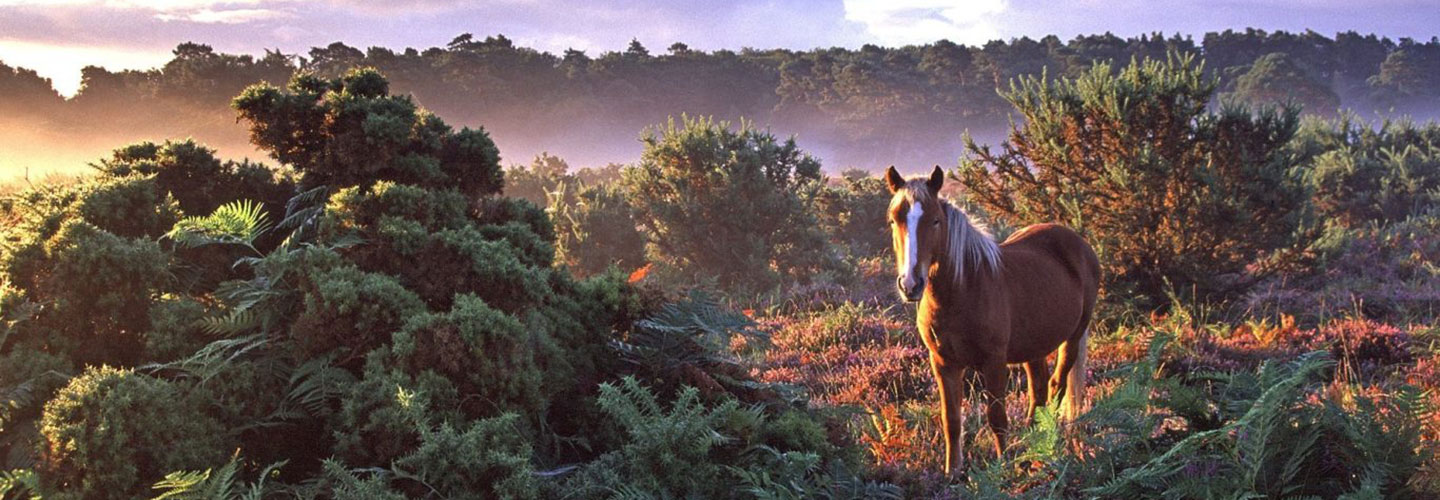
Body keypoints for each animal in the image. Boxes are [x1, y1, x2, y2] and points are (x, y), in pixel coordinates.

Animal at [875, 166, 1100, 475]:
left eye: (935, 220)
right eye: (893, 219)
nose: (910, 284)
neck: (962, 289)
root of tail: (1079, 243)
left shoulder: (993, 362)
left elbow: (996, 417)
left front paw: (1004, 467)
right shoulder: (943, 363)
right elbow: (951, 420)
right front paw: (953, 472)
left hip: (1074, 337)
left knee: (1057, 385)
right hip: (1034, 347)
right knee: (1039, 390)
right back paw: (1031, 437)